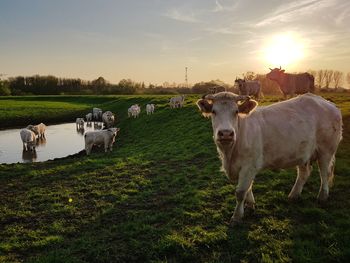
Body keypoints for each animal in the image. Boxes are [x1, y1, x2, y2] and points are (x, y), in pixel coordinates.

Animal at [197, 92, 342, 225]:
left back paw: (322, 196)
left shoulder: (249, 166)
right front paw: (250, 205)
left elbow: (241, 192)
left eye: (236, 111)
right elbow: (248, 188)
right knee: (304, 173)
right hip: (303, 152)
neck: (229, 154)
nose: (226, 133)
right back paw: (293, 195)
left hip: (326, 150)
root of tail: (327, 103)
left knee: (324, 173)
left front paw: (236, 217)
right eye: (214, 111)